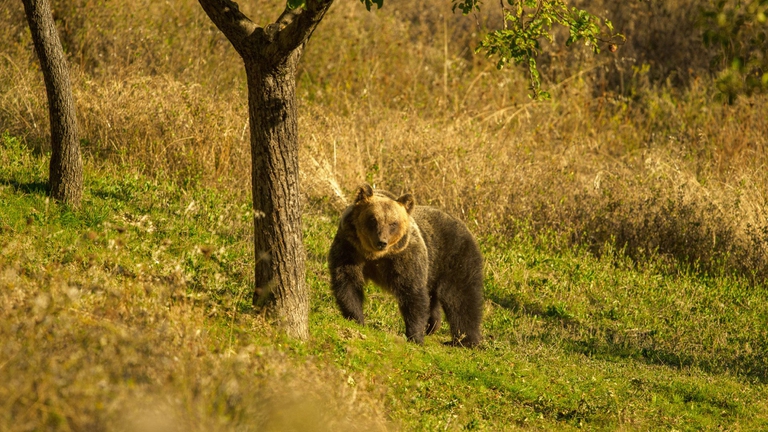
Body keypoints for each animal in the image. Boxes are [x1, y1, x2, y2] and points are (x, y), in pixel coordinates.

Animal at [328, 183, 484, 347]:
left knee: (460, 297)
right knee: (435, 298)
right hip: (433, 269)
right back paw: (432, 327)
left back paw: (464, 340)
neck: (375, 255)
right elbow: (348, 282)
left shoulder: (405, 257)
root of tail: (463, 225)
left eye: (393, 223)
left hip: (454, 257)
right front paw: (356, 318)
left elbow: (412, 293)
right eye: (373, 219)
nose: (381, 242)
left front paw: (415, 336)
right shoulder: (350, 248)